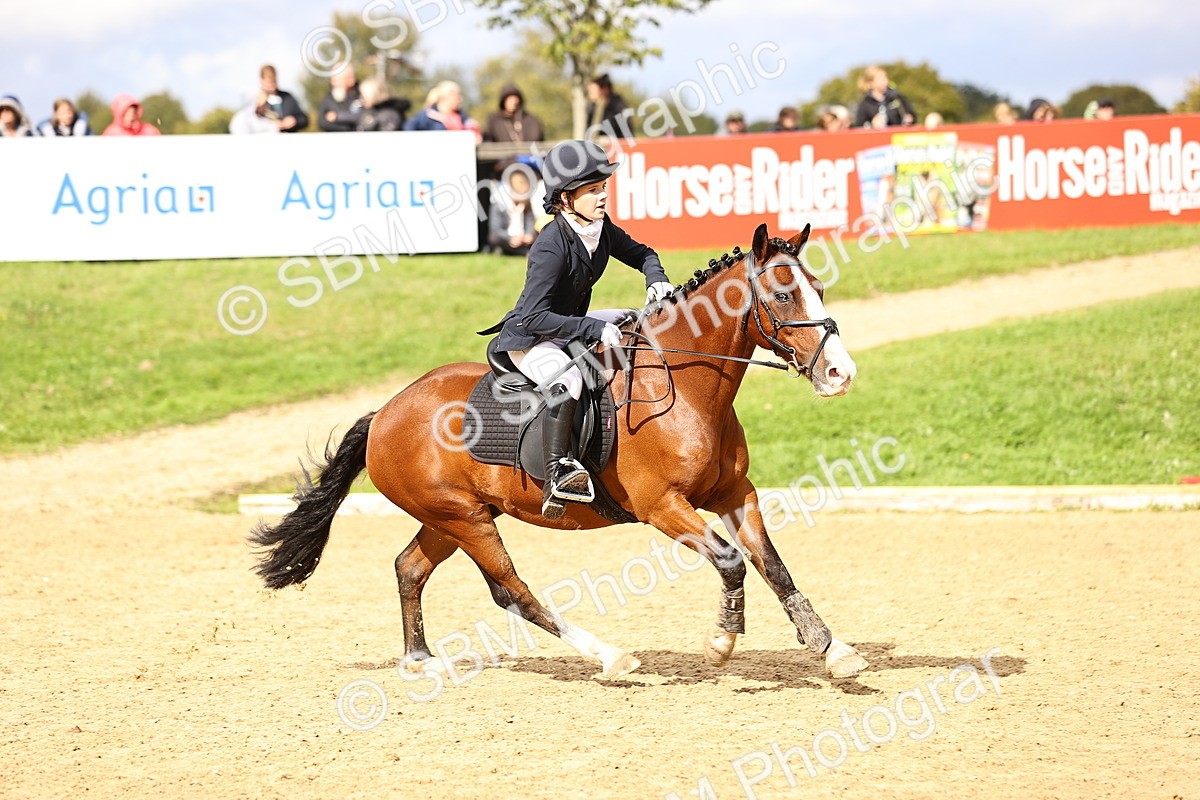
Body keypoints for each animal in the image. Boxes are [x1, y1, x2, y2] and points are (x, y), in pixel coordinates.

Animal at [250, 222, 870, 681]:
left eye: (818, 286)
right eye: (784, 294)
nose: (841, 374)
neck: (690, 388)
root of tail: (385, 413)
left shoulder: (735, 493)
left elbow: (772, 565)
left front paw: (831, 648)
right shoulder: (663, 506)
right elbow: (731, 560)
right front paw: (722, 641)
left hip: (452, 516)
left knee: (410, 568)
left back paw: (420, 660)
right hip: (465, 518)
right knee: (512, 591)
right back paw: (612, 657)